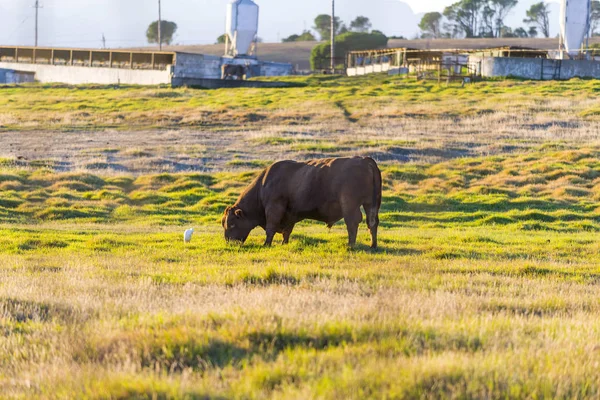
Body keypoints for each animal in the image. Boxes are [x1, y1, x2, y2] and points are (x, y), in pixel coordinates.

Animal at [223, 156, 382, 247]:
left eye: (231, 224)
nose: (228, 241)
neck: (263, 184)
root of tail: (364, 160)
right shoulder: (290, 213)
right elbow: (287, 231)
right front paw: (284, 243)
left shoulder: (274, 208)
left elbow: (271, 228)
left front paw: (266, 244)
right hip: (371, 204)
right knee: (372, 222)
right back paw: (373, 245)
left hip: (350, 205)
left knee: (352, 223)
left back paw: (350, 245)